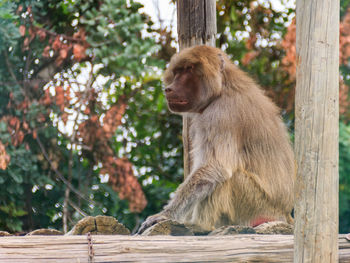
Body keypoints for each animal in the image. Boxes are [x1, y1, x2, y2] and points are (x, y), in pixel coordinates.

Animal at [137, 44, 296, 235]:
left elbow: (215, 167)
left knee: (226, 176)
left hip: (257, 205)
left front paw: (164, 215)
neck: (223, 88)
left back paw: (200, 226)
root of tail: (285, 214)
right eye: (177, 72)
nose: (169, 89)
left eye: (188, 70)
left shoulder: (220, 115)